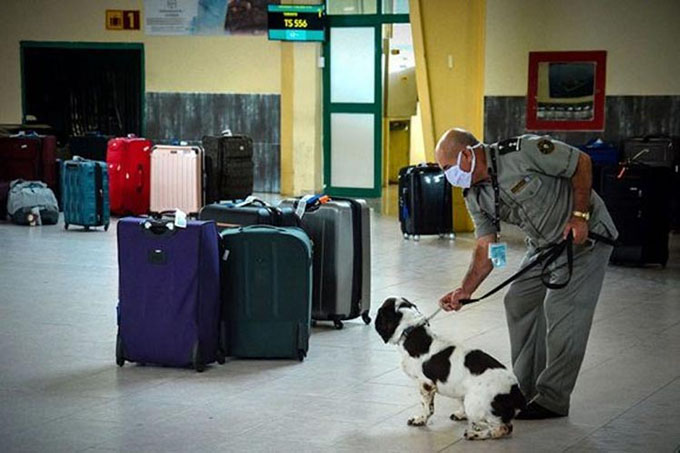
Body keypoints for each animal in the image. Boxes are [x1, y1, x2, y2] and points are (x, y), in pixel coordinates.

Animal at [378, 294, 524, 440]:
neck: (412, 333)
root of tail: (515, 390)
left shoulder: (426, 385)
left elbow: (427, 407)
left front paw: (420, 420)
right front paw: (461, 415)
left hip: (475, 404)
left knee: (502, 428)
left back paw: (474, 433)